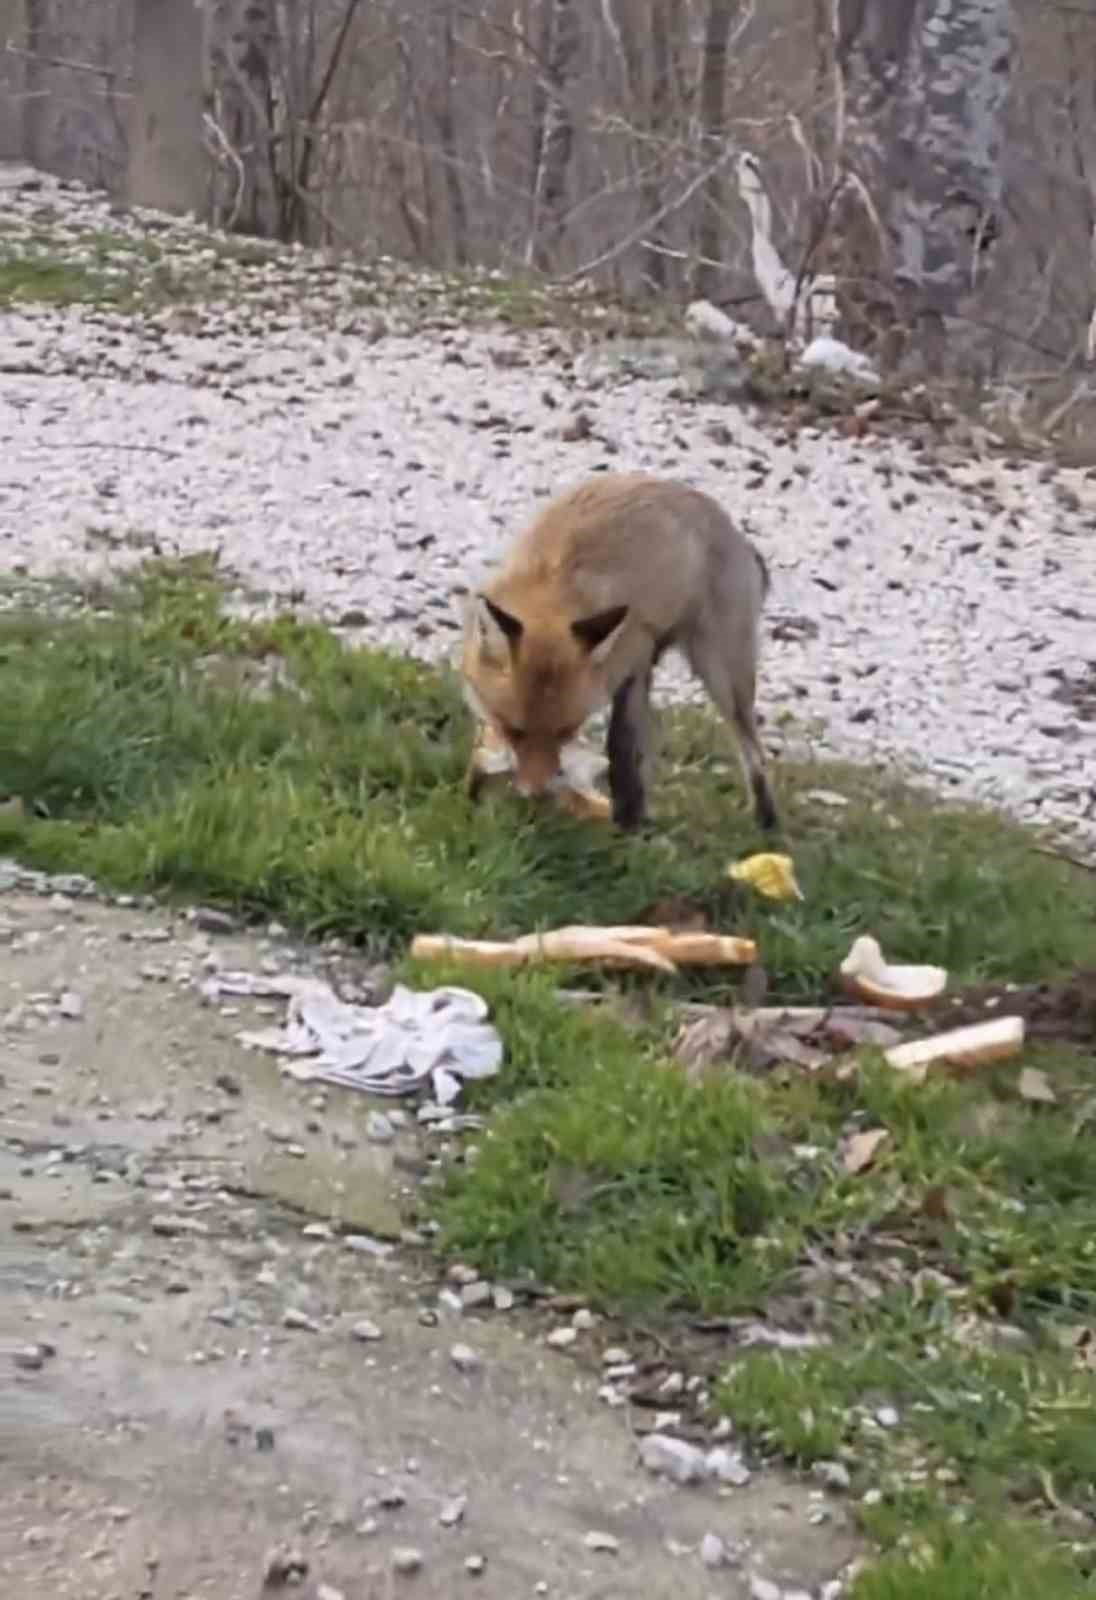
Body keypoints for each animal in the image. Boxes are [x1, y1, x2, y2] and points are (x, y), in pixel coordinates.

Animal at [454, 467, 777, 832]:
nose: (535, 794)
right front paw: (473, 791)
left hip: (719, 671)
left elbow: (621, 747)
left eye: (565, 732)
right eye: (514, 729)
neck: (552, 581)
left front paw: (626, 820)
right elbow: (484, 744)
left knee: (754, 753)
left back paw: (765, 822)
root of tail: (735, 532)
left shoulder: (631, 660)